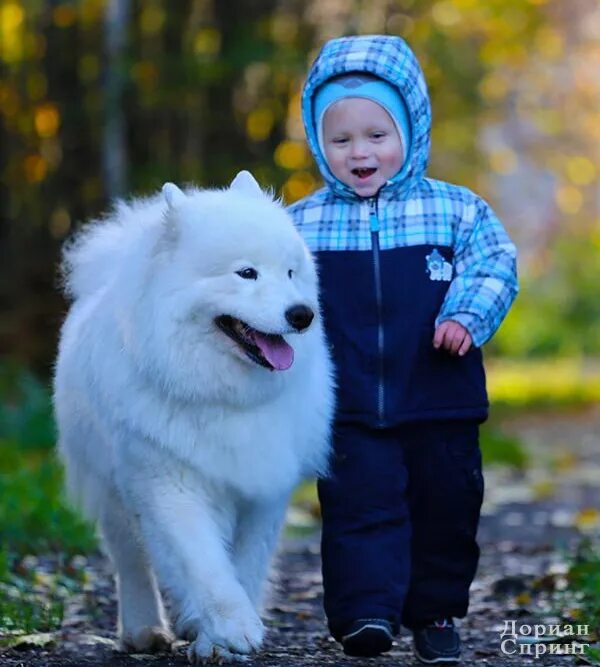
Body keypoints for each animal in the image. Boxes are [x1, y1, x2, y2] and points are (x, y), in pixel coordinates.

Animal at [54, 171, 336, 664]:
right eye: (246, 273)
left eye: (290, 273)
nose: (302, 314)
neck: (223, 398)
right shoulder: (168, 485)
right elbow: (204, 565)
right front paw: (233, 627)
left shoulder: (263, 492)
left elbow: (245, 565)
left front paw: (217, 637)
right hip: (113, 491)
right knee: (132, 561)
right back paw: (145, 629)